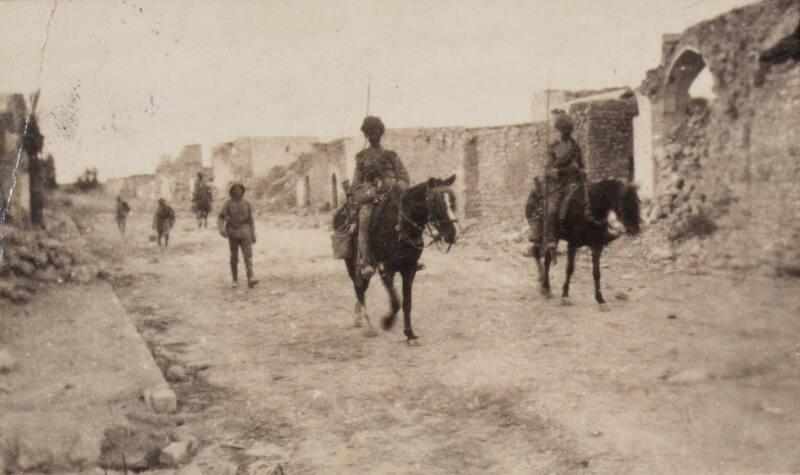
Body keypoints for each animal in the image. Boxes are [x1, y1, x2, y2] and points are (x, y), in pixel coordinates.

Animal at [334, 175, 460, 342]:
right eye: (436, 203)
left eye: (453, 200)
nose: (453, 234)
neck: (401, 225)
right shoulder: (386, 269)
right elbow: (395, 302)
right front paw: (387, 322)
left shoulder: (409, 269)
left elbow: (407, 303)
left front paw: (409, 334)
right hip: (353, 264)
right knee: (359, 289)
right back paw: (369, 326)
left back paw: (359, 318)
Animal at [524, 179, 644, 308]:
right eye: (625, 202)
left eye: (637, 202)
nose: (635, 229)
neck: (589, 210)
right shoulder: (572, 244)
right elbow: (570, 269)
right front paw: (565, 295)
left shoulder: (597, 246)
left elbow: (596, 273)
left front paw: (600, 299)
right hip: (544, 235)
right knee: (538, 254)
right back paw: (544, 286)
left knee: (546, 258)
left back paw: (545, 286)